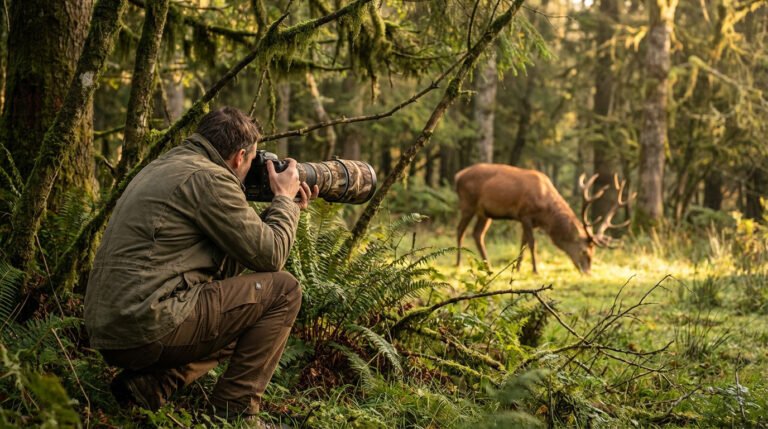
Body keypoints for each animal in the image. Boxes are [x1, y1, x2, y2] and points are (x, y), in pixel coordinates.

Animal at [454, 163, 632, 274]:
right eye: (584, 251)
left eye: (593, 252)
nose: (587, 272)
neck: (546, 215)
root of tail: (458, 176)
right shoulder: (525, 214)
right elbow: (532, 243)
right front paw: (535, 270)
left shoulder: (529, 221)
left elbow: (523, 243)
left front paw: (518, 268)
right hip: (468, 203)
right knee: (460, 230)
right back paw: (458, 262)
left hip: (485, 212)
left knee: (477, 234)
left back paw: (487, 264)